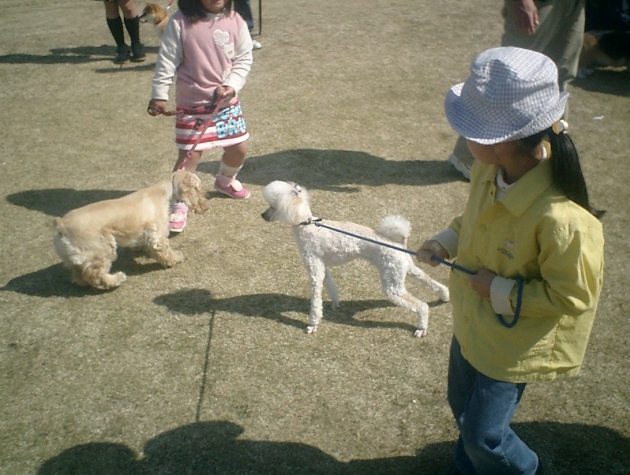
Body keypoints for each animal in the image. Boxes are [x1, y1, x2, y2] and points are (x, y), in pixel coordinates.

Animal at [53, 171, 209, 290]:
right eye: (198, 188)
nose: (206, 206)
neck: (163, 192)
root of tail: (62, 223)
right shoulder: (158, 235)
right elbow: (165, 251)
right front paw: (175, 258)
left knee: (78, 272)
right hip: (102, 250)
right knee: (96, 275)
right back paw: (116, 279)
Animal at [262, 179, 450, 338]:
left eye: (272, 206)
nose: (262, 215)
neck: (306, 225)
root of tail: (399, 243)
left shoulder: (314, 269)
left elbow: (315, 301)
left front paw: (313, 324)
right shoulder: (323, 267)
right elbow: (330, 287)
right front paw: (335, 305)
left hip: (393, 285)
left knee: (422, 305)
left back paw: (421, 327)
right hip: (404, 269)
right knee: (432, 282)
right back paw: (444, 296)